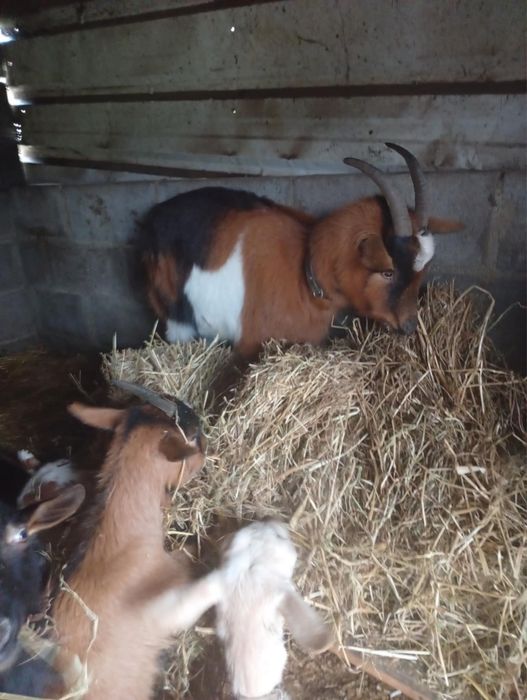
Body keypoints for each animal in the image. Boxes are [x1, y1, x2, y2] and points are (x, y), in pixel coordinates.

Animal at [138, 143, 463, 358]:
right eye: (388, 272)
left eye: (422, 272)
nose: (408, 326)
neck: (304, 273)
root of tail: (152, 218)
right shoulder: (249, 344)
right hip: (175, 318)